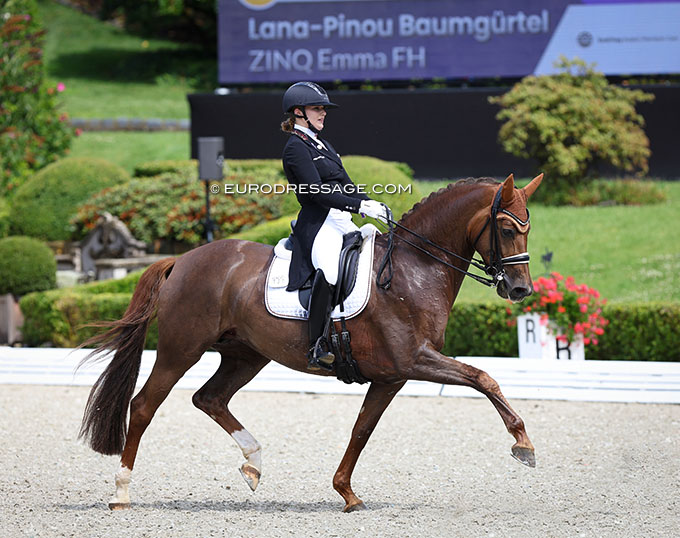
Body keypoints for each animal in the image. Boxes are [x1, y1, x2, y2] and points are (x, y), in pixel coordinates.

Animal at [78, 172, 540, 510]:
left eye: (529, 228)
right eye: (504, 228)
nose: (520, 290)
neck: (415, 268)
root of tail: (181, 259)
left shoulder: (392, 376)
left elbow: (362, 429)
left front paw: (347, 493)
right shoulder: (415, 359)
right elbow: (483, 378)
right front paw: (523, 444)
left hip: (245, 355)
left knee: (210, 399)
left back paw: (253, 464)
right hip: (181, 350)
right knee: (144, 406)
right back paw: (121, 492)